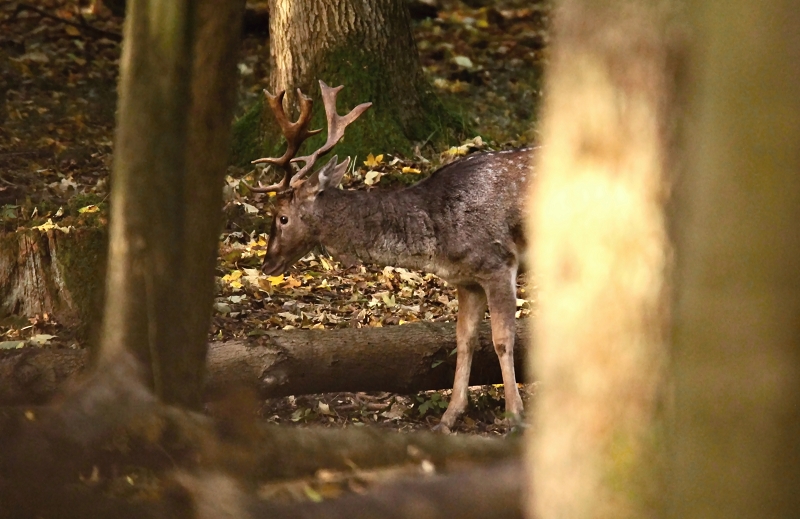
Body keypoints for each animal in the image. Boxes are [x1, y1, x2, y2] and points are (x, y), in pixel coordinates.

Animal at [247, 80, 528, 430]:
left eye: (282, 217)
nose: (267, 263)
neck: (440, 244)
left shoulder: (498, 262)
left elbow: (502, 339)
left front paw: (515, 415)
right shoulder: (467, 280)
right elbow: (463, 340)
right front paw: (449, 417)